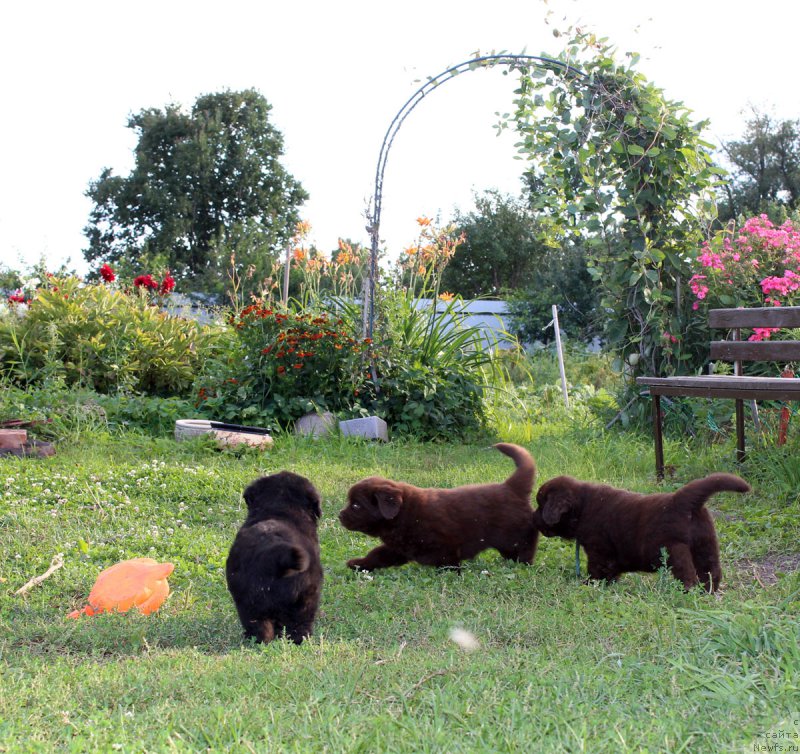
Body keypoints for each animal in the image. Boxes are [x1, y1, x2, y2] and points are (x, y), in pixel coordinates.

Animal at [338, 440, 536, 568]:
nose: (339, 515)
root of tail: (511, 487)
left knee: (525, 551)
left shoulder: (445, 546)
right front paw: (359, 563)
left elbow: (448, 564)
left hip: (515, 538)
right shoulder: (398, 548)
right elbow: (377, 555)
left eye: (356, 506)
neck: (404, 514)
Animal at [532, 472, 752, 592]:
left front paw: (590, 584)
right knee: (712, 573)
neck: (582, 507)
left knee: (689, 576)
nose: (533, 519)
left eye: (541, 505)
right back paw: (708, 593)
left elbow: (598, 570)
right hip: (706, 545)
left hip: (675, 550)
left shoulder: (599, 551)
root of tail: (683, 501)